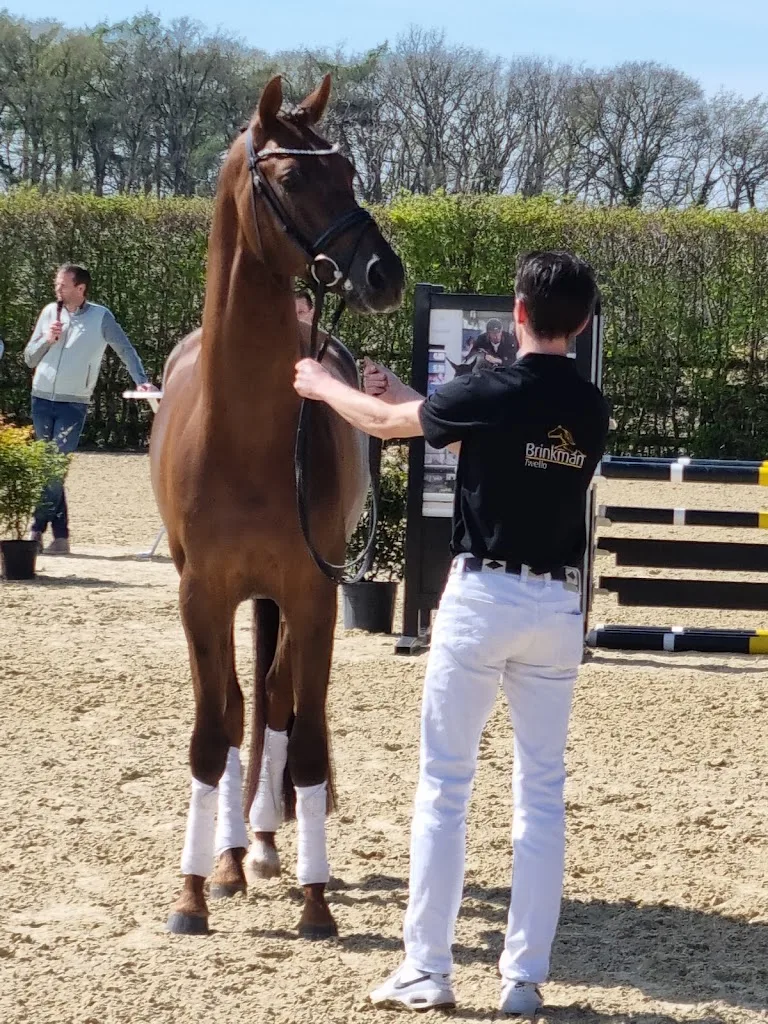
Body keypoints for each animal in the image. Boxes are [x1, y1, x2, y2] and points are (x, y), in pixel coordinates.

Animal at [149, 73, 405, 938]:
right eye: (292, 177)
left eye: (350, 172)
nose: (384, 274)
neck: (246, 434)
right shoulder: (200, 595)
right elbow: (212, 731)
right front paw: (192, 894)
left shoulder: (313, 592)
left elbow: (304, 734)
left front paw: (316, 903)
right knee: (241, 709)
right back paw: (233, 857)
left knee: (281, 705)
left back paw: (263, 845)